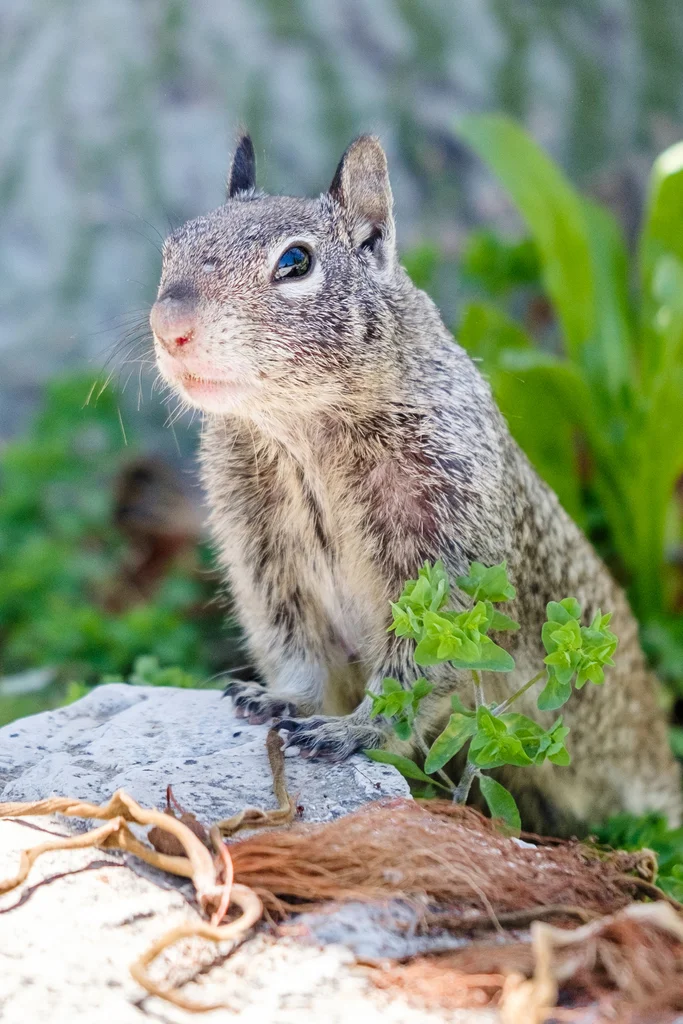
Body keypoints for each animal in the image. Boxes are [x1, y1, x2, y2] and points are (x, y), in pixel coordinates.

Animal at [150, 133, 681, 834]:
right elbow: (298, 651)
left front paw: (353, 731)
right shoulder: (267, 562)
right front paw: (279, 698)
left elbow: (422, 665)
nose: (169, 327)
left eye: (295, 262)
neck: (301, 436)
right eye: (171, 247)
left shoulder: (444, 551)